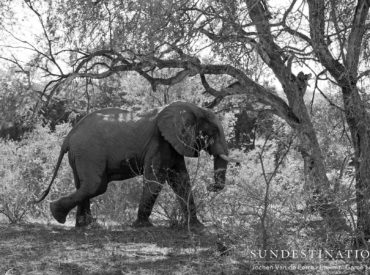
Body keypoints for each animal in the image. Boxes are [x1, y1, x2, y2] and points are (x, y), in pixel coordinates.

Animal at [36, 101, 238, 229]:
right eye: (213, 132)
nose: (211, 187)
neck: (192, 108)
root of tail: (69, 135)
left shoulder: (172, 143)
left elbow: (181, 180)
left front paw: (196, 226)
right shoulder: (160, 141)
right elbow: (156, 180)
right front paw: (143, 226)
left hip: (80, 155)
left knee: (84, 185)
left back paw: (85, 225)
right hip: (89, 152)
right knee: (96, 185)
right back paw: (58, 215)